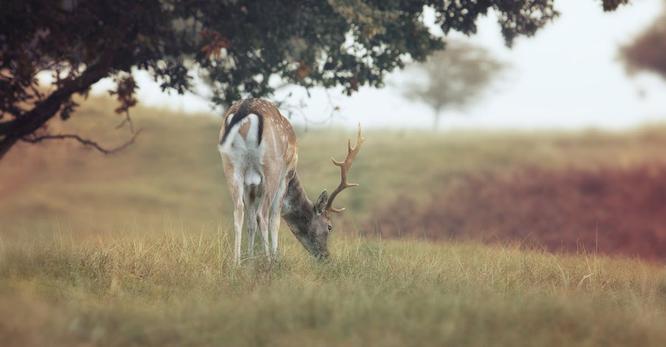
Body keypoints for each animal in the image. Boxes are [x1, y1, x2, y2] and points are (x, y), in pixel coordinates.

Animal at [217, 99, 364, 266]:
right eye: (330, 226)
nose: (326, 256)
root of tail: (245, 108)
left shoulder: (250, 188)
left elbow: (251, 223)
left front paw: (250, 261)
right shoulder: (286, 176)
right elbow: (275, 219)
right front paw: (274, 258)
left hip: (230, 164)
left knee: (238, 211)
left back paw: (236, 263)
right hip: (272, 167)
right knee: (263, 214)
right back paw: (268, 261)